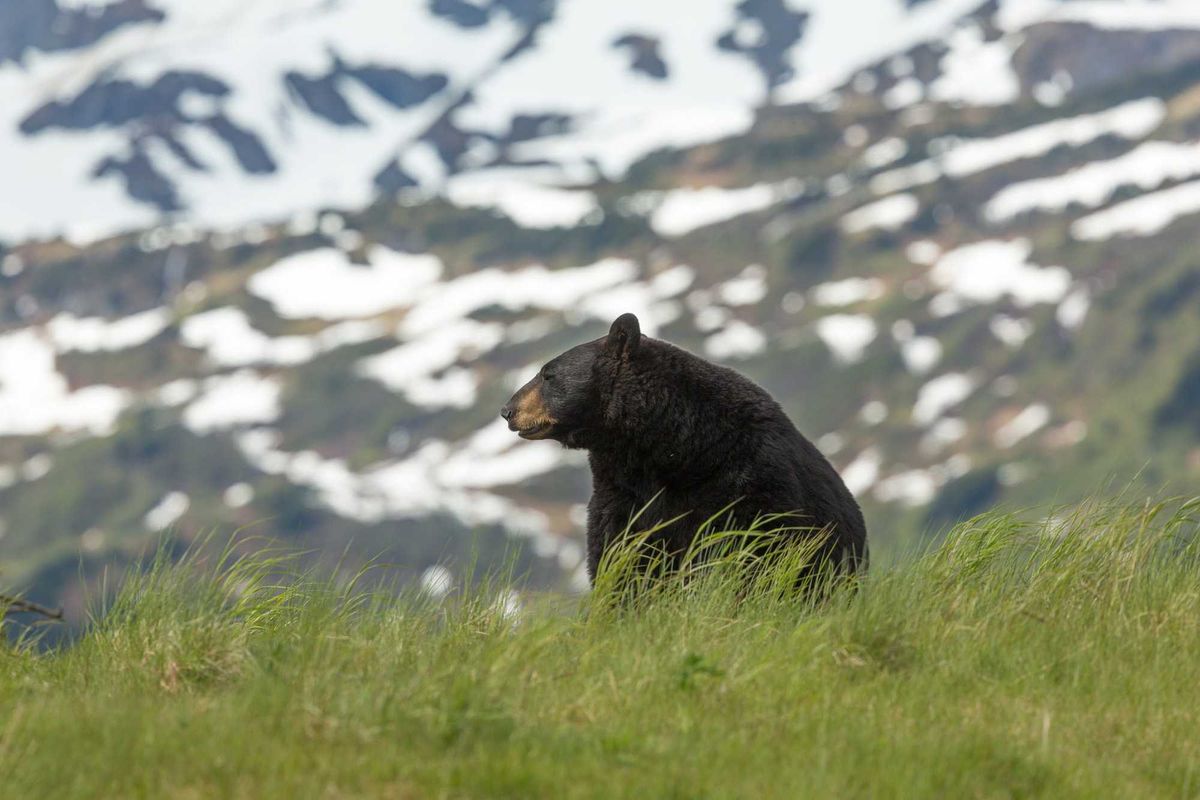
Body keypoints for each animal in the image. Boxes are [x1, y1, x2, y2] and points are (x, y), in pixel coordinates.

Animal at [501, 312, 868, 586]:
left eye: (547, 374)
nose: (508, 410)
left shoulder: (748, 479)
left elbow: (752, 549)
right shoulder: (622, 491)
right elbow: (617, 552)